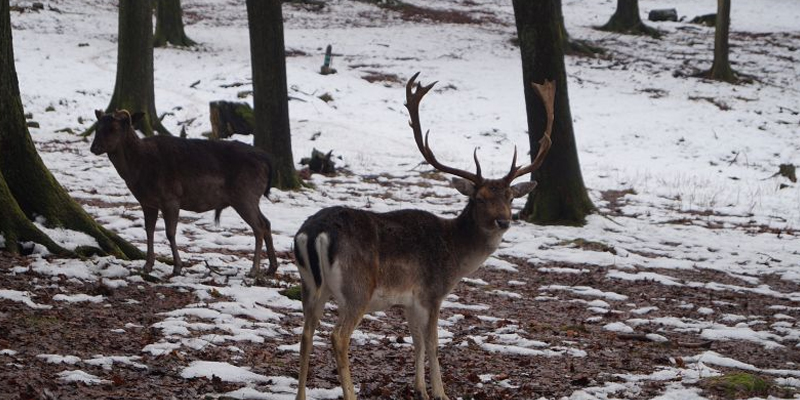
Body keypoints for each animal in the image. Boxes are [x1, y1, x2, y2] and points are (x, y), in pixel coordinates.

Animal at [89, 109, 278, 278]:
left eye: (113, 128)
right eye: (97, 127)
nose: (94, 147)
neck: (140, 169)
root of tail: (268, 162)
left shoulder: (171, 197)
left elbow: (170, 233)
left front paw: (177, 267)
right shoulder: (147, 202)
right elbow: (149, 230)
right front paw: (147, 266)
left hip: (245, 195)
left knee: (259, 227)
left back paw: (254, 270)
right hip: (250, 197)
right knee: (267, 222)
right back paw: (272, 268)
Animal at [294, 72, 556, 400]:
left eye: (510, 197)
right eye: (479, 198)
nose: (503, 221)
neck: (456, 255)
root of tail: (314, 232)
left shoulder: (409, 300)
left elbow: (416, 341)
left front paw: (419, 388)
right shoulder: (432, 292)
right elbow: (433, 343)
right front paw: (441, 392)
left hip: (310, 285)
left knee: (305, 332)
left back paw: (301, 395)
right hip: (356, 288)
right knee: (337, 336)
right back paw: (350, 393)